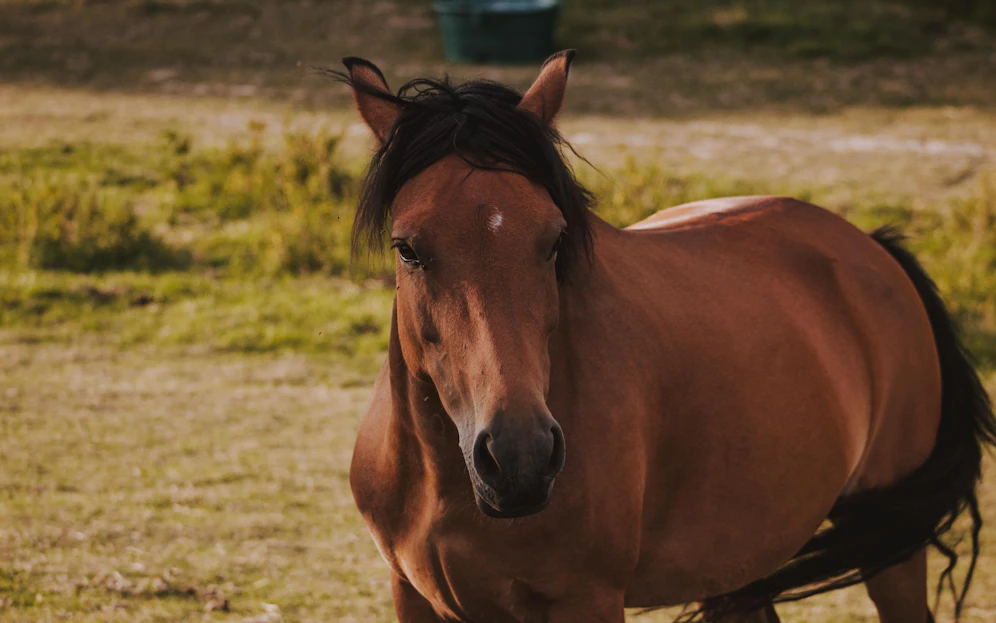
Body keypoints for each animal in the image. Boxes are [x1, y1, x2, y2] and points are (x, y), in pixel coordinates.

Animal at [332, 51, 995, 623]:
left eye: (554, 240)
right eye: (408, 248)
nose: (521, 457)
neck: (448, 488)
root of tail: (870, 247)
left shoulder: (586, 600)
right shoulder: (413, 597)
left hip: (891, 551)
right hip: (737, 561)